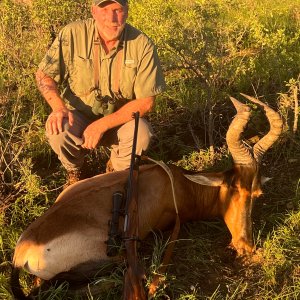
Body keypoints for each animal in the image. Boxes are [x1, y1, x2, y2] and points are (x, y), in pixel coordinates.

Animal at [10, 94, 282, 298]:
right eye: (234, 188)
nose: (245, 246)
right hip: (110, 257)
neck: (177, 183)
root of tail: (22, 251)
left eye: (257, 193)